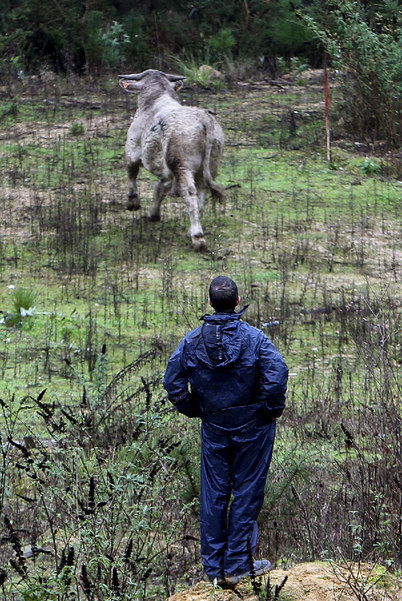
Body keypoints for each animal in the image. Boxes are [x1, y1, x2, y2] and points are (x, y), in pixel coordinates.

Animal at [118, 69, 225, 250]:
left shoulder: (132, 151)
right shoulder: (166, 172)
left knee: (189, 193)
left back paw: (198, 237)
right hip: (210, 164)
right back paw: (192, 229)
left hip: (181, 165)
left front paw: (133, 203)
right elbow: (161, 188)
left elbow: (132, 176)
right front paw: (153, 214)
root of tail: (203, 119)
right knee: (202, 191)